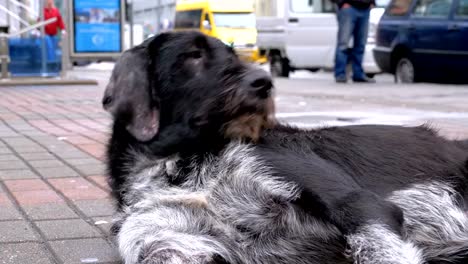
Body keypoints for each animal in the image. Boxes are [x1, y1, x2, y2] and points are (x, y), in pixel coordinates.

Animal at [104, 31, 468, 264]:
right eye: (193, 55)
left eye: (233, 55)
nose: (264, 82)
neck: (182, 166)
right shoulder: (159, 230)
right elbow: (149, 244)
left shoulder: (359, 204)